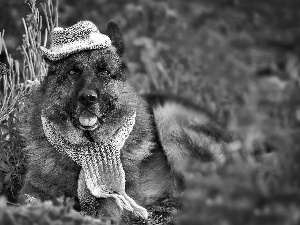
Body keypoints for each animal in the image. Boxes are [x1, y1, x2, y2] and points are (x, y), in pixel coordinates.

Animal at [18, 20, 230, 223]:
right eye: (72, 72)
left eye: (104, 71)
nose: (87, 98)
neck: (87, 148)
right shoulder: (34, 188)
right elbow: (26, 201)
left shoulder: (119, 193)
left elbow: (109, 208)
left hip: (169, 117)